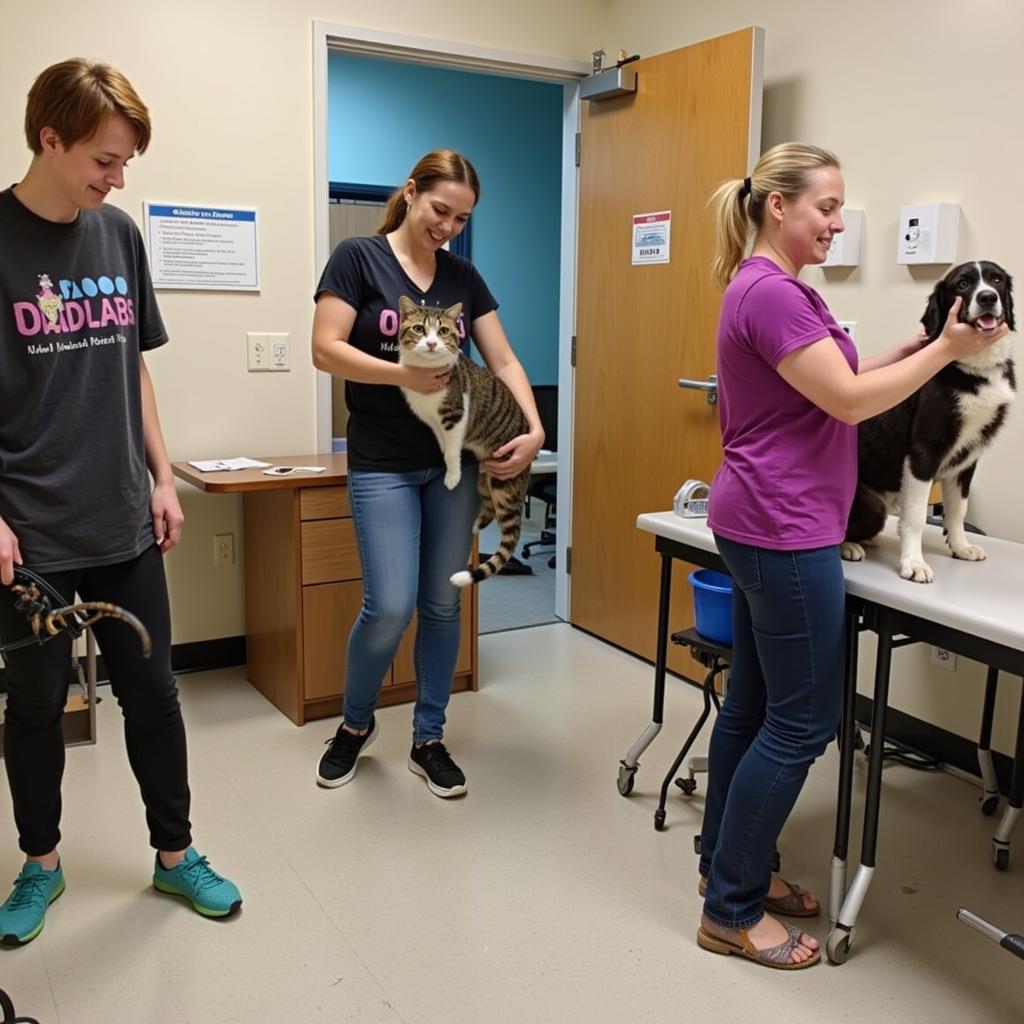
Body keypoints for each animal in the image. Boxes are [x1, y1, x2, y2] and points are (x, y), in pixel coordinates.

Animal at [395, 292, 532, 589]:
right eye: (419, 329)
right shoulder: (432, 421)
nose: (432, 343)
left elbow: (451, 450)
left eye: (444, 331)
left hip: (505, 478)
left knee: (511, 529)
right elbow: (443, 444)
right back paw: (476, 525)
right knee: (489, 507)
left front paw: (452, 475)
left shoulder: (455, 415)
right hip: (485, 478)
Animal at [839, 260, 1015, 585]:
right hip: (872, 507)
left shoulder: (968, 458)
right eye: (962, 284)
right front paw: (913, 562)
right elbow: (916, 517)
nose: (987, 297)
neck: (972, 368)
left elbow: (957, 510)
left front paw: (960, 547)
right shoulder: (923, 452)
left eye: (996, 279)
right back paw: (848, 545)